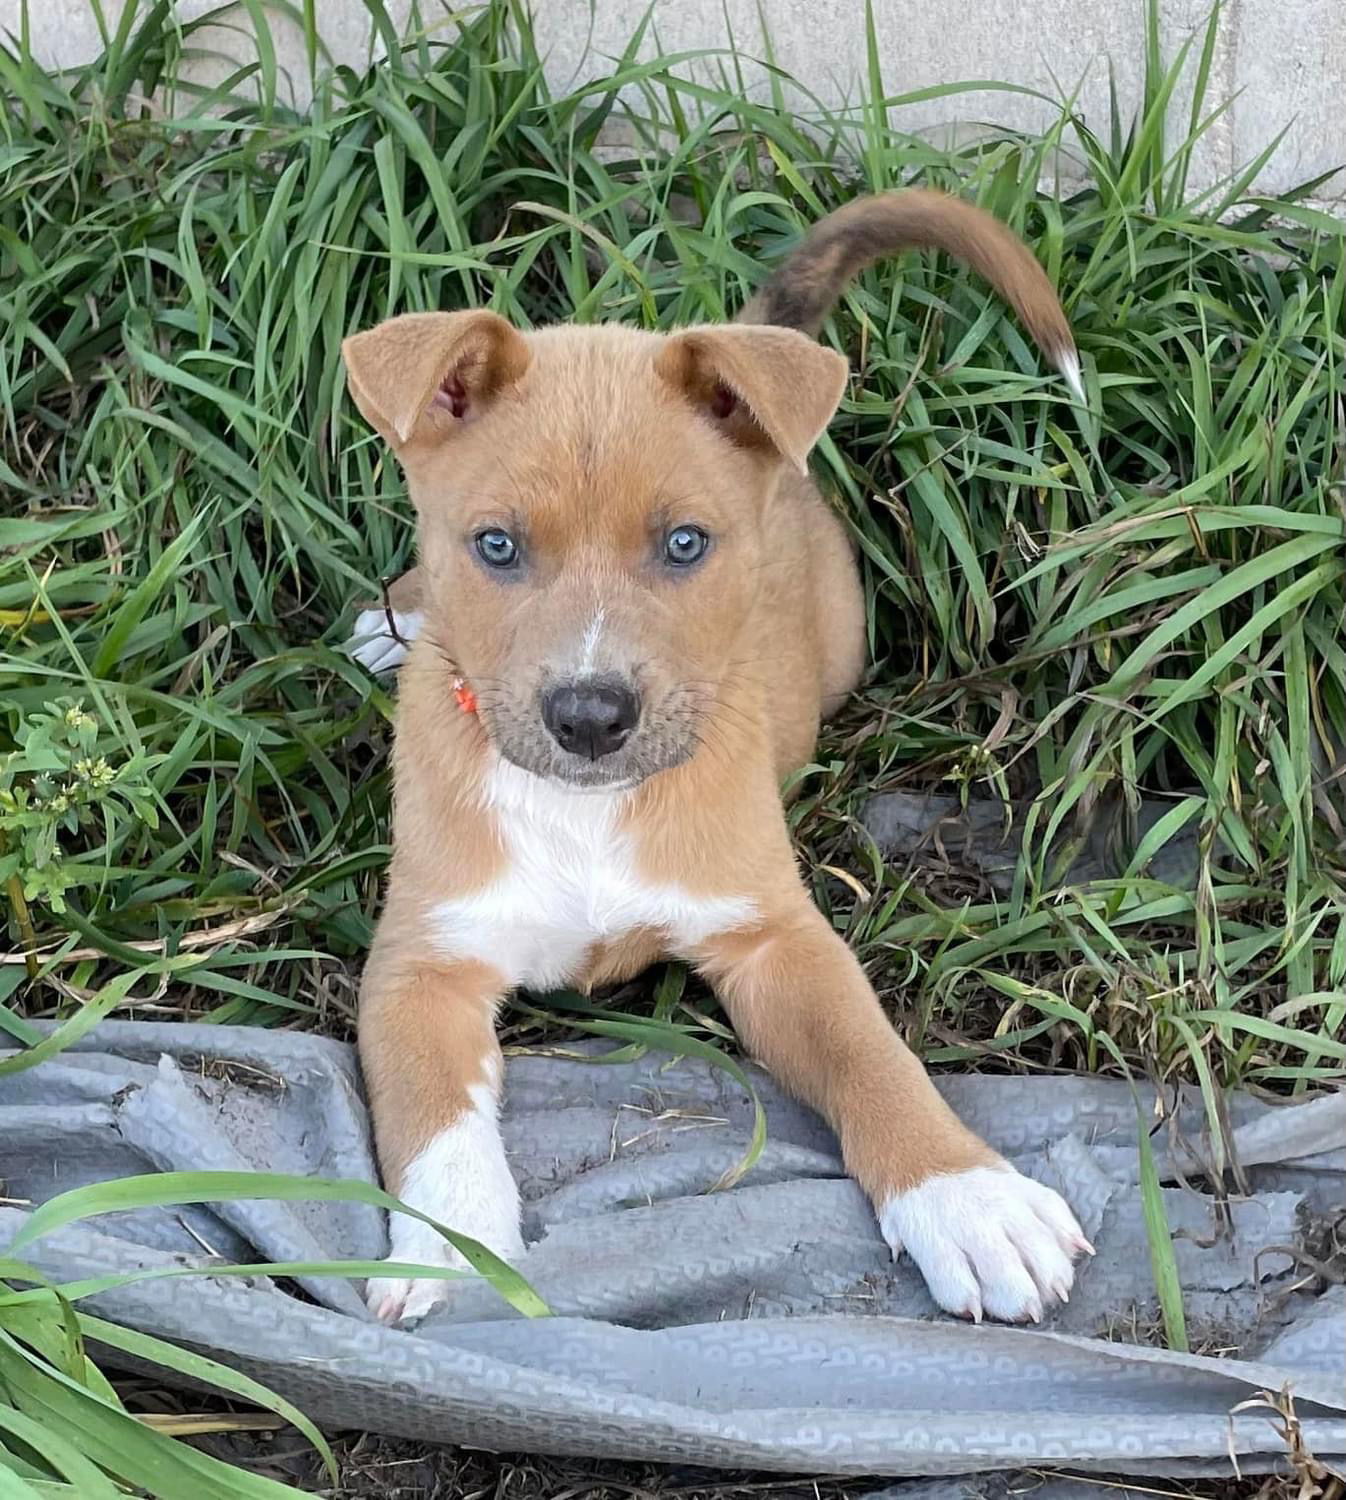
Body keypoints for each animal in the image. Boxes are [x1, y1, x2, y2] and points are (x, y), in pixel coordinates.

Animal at [342, 187, 1086, 1326]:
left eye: (684, 544)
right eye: (496, 546)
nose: (589, 715)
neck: (588, 804)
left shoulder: (774, 938)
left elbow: (872, 1056)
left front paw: (968, 1198)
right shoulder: (422, 961)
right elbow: (434, 1115)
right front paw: (452, 1248)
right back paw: (396, 623)